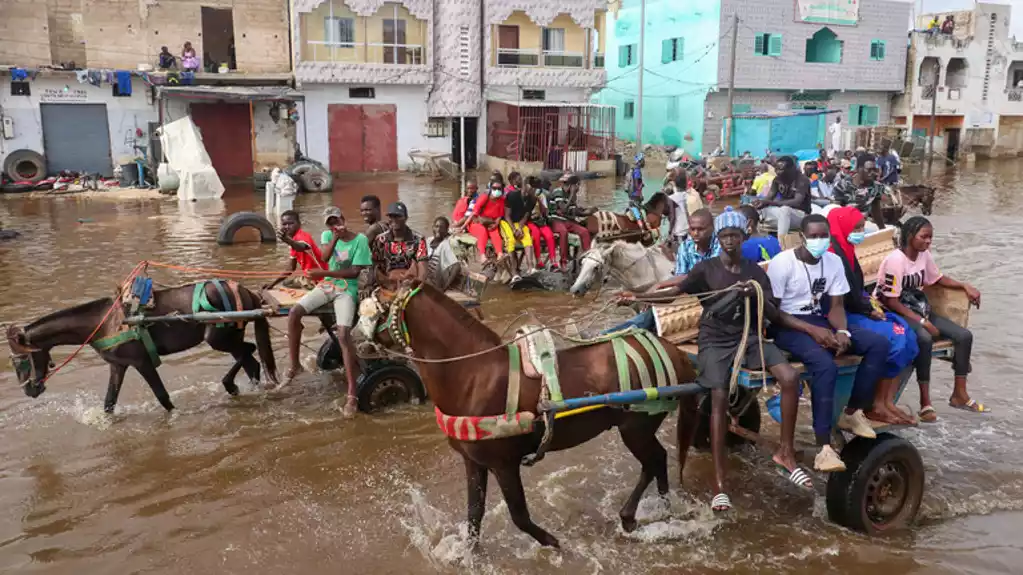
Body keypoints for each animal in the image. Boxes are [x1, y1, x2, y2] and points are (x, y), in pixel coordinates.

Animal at [6, 278, 278, 409]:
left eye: (22, 361)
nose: (29, 390)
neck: (105, 322)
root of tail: (245, 291)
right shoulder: (118, 365)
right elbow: (109, 403)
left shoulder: (142, 362)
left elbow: (162, 397)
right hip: (229, 339)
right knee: (251, 361)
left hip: (220, 339)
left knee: (249, 353)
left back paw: (231, 384)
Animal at [356, 280, 699, 544]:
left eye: (374, 310)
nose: (357, 344)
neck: (473, 375)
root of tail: (672, 349)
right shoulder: (473, 461)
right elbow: (474, 515)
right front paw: (470, 555)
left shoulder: (504, 463)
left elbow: (519, 515)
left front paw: (553, 543)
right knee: (658, 462)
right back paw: (663, 507)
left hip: (635, 427)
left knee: (653, 460)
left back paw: (633, 515)